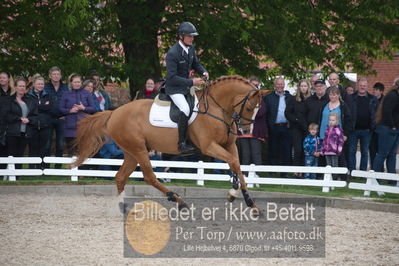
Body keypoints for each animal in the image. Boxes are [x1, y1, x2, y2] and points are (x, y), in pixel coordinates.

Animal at [74, 76, 262, 211]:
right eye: (249, 108)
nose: (245, 131)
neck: (218, 109)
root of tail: (114, 113)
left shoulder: (229, 145)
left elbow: (236, 164)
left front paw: (242, 198)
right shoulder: (209, 146)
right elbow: (233, 162)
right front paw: (244, 198)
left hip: (131, 152)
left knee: (121, 177)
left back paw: (123, 206)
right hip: (139, 150)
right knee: (149, 176)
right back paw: (179, 201)